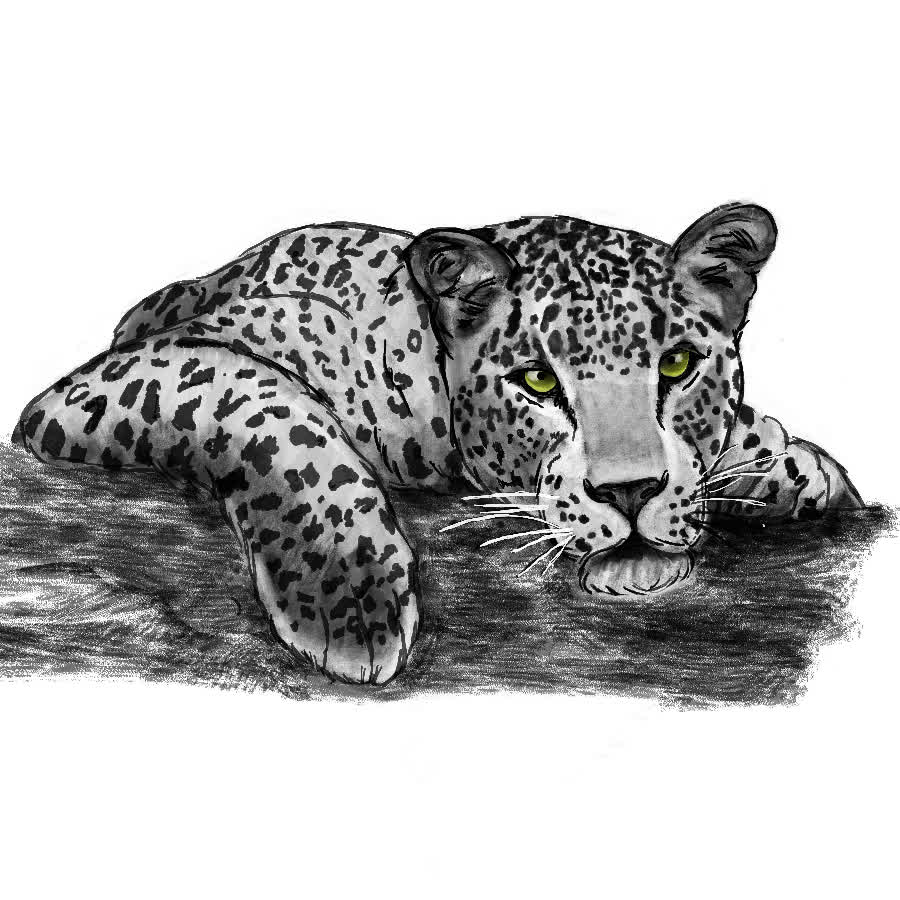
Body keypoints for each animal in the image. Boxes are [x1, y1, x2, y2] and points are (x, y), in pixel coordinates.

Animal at [14, 202, 863, 685]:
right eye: (539, 381)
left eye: (678, 367)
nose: (630, 492)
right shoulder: (109, 383)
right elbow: (260, 396)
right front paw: (349, 595)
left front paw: (788, 461)